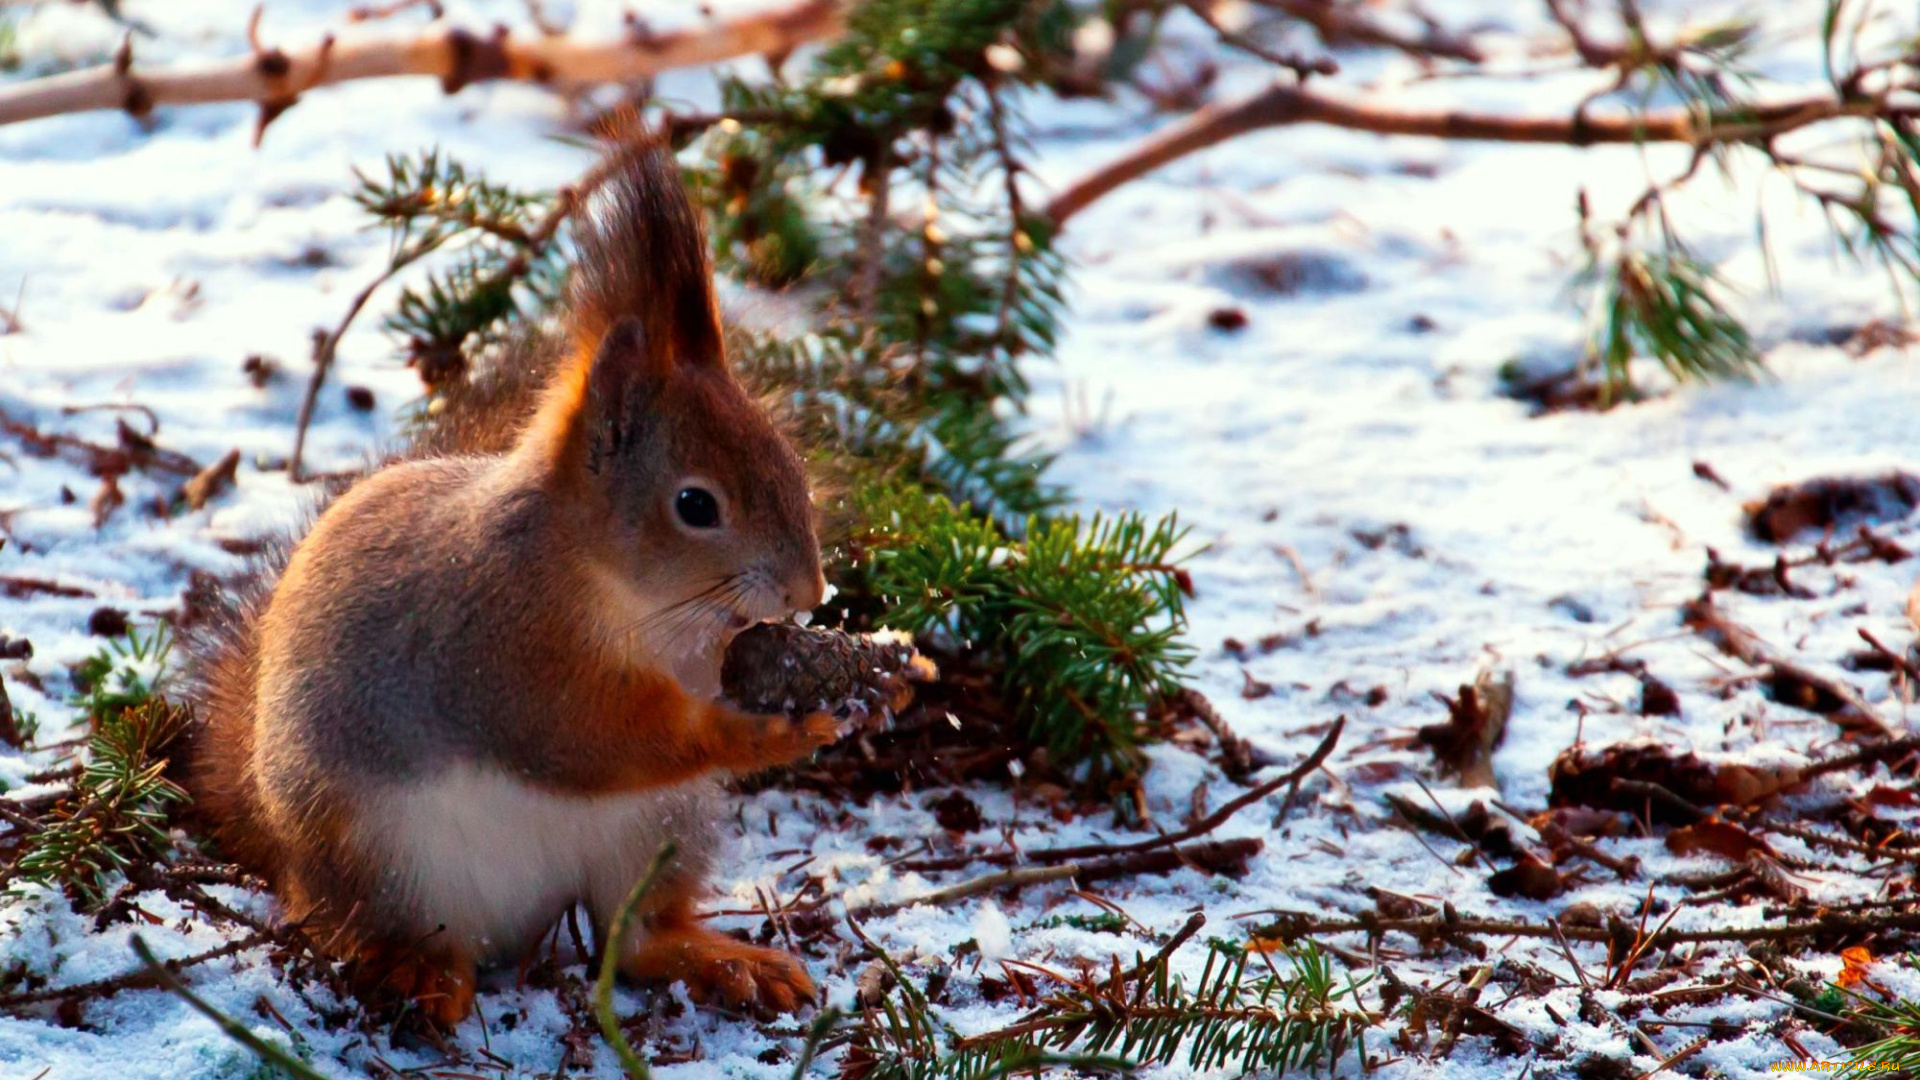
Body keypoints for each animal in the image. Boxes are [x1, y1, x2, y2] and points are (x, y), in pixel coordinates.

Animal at [183, 132, 837, 1014]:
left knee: (636, 940)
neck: (620, 594)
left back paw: (725, 961)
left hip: (657, 830)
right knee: (373, 929)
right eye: (696, 505)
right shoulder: (502, 650)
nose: (809, 592)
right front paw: (765, 732)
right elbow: (590, 737)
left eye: (791, 463)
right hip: (382, 859)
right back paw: (417, 973)